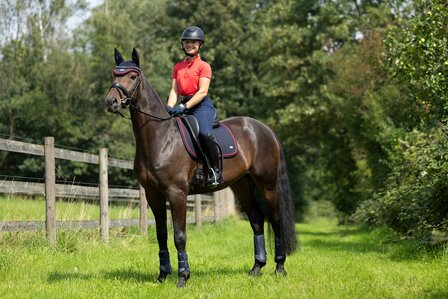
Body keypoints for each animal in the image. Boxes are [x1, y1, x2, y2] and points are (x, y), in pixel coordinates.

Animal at [105, 48, 298, 288]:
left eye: (132, 76)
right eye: (114, 74)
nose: (111, 101)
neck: (161, 137)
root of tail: (265, 129)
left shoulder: (177, 194)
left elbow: (179, 236)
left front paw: (182, 277)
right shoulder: (153, 195)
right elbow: (161, 235)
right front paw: (162, 275)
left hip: (267, 184)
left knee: (276, 220)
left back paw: (279, 267)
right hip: (242, 185)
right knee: (256, 220)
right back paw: (256, 268)